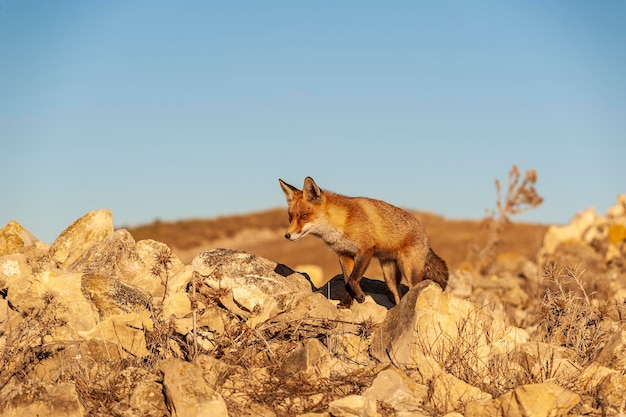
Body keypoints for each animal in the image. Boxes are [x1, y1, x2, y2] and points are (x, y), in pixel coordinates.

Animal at [276, 176, 446, 306]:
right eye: (290, 217)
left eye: (304, 216)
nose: (287, 235)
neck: (340, 223)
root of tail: (424, 233)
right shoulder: (344, 254)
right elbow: (346, 282)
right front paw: (346, 304)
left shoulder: (365, 250)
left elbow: (352, 280)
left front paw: (359, 297)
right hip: (389, 277)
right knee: (398, 294)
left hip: (410, 272)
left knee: (413, 290)